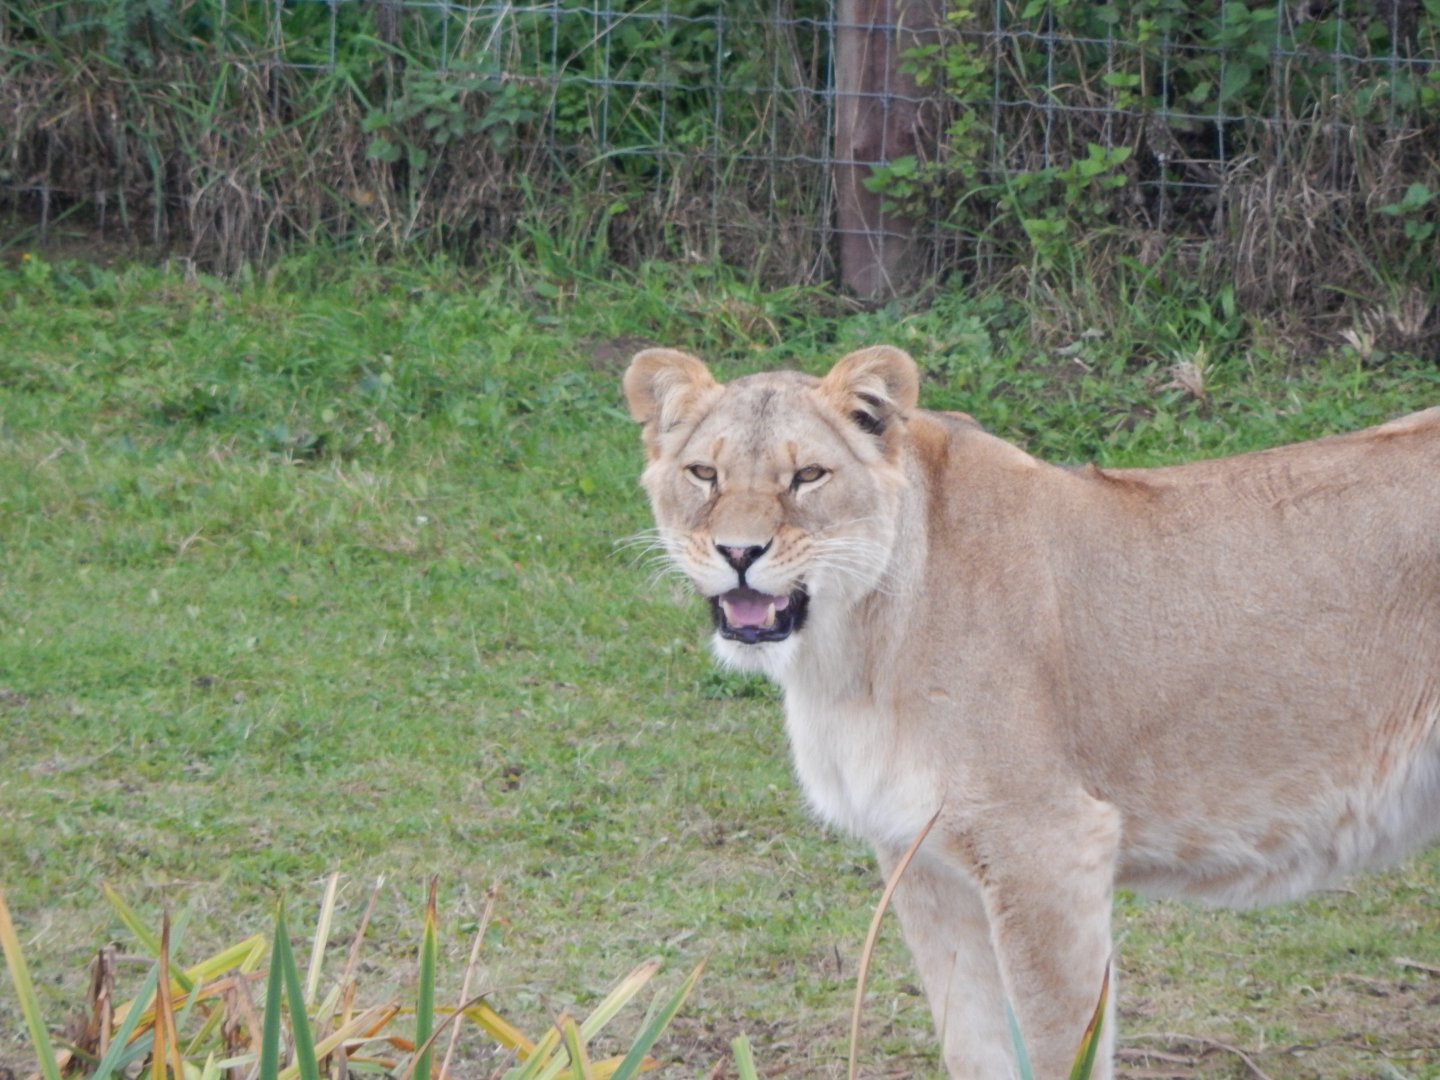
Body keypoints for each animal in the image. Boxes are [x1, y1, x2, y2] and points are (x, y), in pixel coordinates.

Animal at [622, 345, 1440, 1079]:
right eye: (704, 474)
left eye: (809, 476)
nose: (738, 553)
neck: (852, 651)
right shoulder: (921, 859)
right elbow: (972, 1042)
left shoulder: (1046, 845)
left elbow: (1055, 1046)